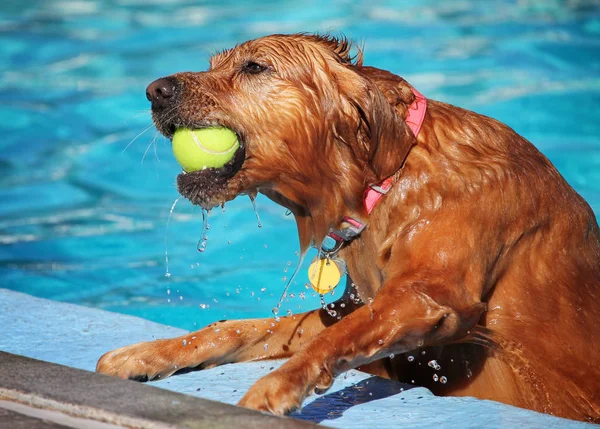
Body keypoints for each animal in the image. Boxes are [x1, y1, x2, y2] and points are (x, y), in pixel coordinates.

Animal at [97, 34, 600, 422]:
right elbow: (239, 328)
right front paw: (152, 351)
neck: (389, 176)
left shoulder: (430, 297)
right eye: (212, 64)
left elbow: (337, 337)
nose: (154, 90)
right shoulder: (350, 306)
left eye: (255, 66)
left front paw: (278, 385)